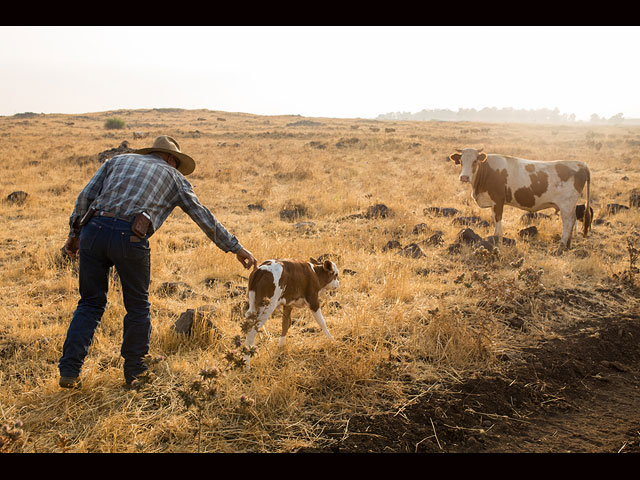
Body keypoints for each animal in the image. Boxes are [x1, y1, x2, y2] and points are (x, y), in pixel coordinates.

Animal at [450, 147, 592, 253]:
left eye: (475, 161)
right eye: (461, 161)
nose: (464, 177)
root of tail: (581, 164)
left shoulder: (498, 200)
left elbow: (498, 220)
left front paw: (497, 239)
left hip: (566, 205)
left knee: (568, 222)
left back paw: (561, 247)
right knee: (573, 221)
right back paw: (568, 245)